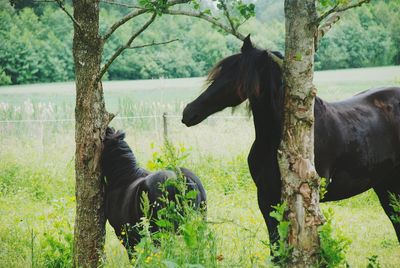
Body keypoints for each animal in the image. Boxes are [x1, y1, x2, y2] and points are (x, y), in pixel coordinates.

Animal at [182, 36, 400, 246]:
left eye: (234, 78)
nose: (188, 112)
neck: (274, 141)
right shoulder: (266, 198)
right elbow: (275, 245)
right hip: (385, 185)